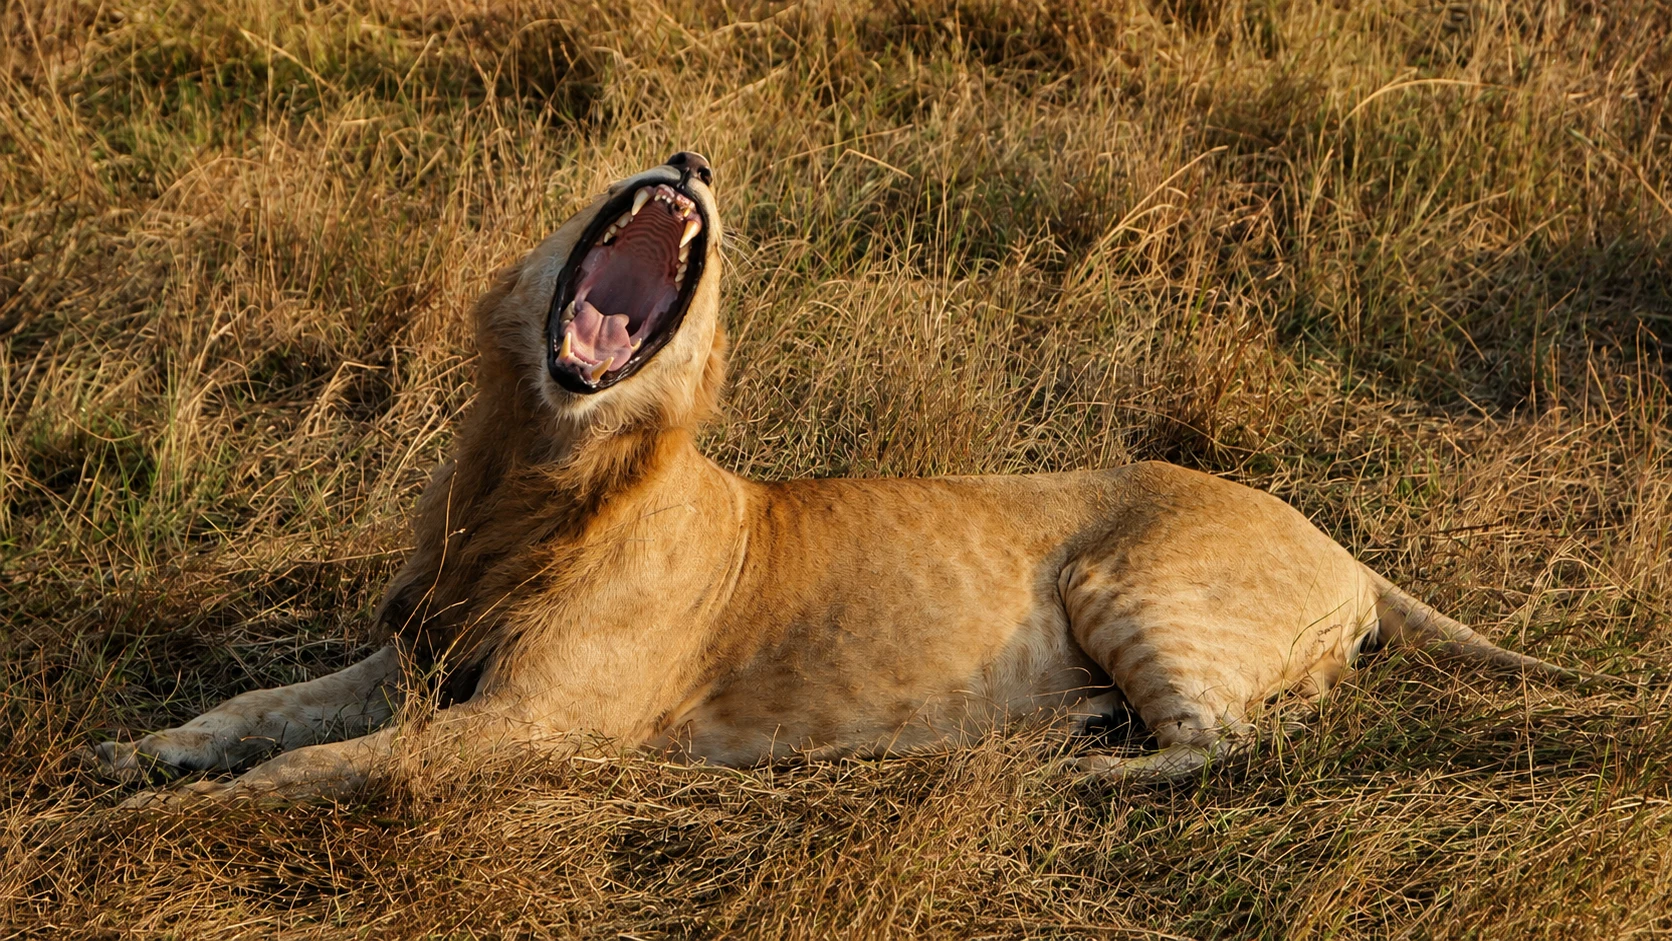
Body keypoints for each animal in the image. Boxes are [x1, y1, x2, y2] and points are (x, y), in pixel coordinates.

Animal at [89, 152, 1589, 804]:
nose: (690, 156)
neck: (538, 463)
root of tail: (1342, 543)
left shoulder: (541, 720)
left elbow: (330, 764)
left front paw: (188, 808)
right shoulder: (419, 650)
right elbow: (267, 704)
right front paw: (147, 747)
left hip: (1127, 582)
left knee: (1234, 739)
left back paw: (1063, 766)